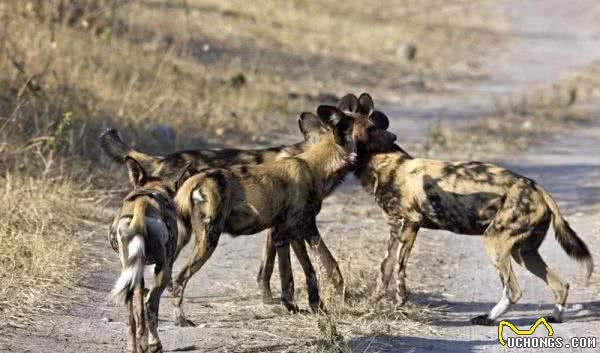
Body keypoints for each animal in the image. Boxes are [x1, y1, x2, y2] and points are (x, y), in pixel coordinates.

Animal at [108, 157, 180, 352]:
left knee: (134, 316)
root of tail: (142, 204)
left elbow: (136, 315)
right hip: (164, 269)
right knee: (150, 305)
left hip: (130, 272)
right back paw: (155, 344)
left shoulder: (136, 272)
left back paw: (136, 347)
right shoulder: (166, 264)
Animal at [166, 105, 396, 324]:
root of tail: (194, 180)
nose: (394, 137)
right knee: (180, 279)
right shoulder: (303, 228)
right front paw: (313, 307)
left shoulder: (285, 235)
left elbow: (292, 276)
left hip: (181, 238)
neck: (316, 165)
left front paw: (296, 307)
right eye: (372, 128)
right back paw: (181, 319)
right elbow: (309, 270)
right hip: (208, 239)